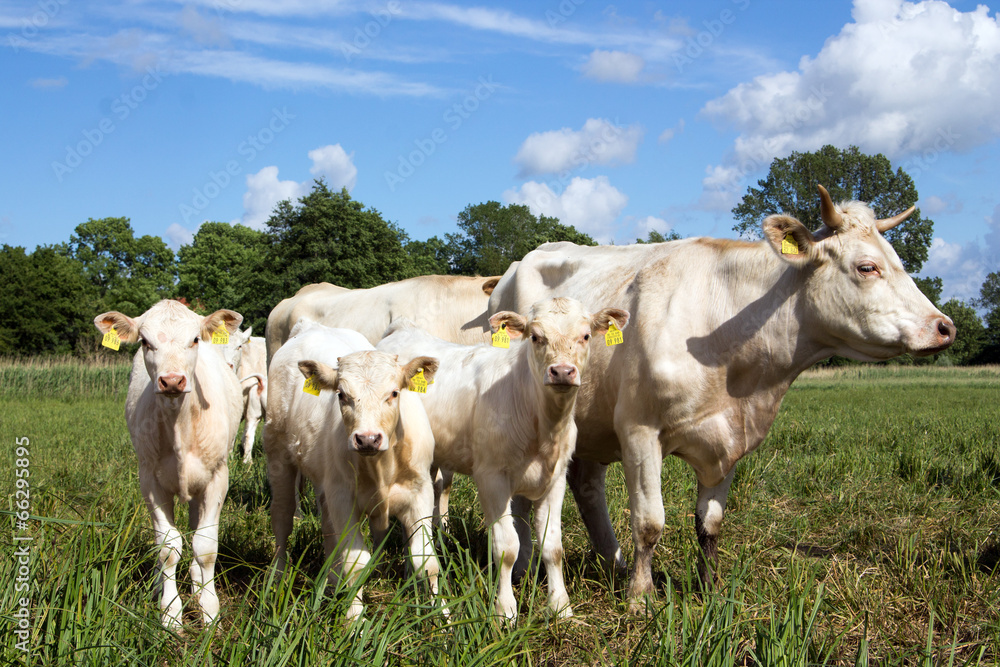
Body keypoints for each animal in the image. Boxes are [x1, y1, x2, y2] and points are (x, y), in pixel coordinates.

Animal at [94, 300, 244, 628]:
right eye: (145, 342)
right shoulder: (149, 479)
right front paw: (171, 613)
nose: (172, 380)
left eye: (195, 339)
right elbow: (167, 548)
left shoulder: (218, 477)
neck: (180, 425)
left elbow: (205, 547)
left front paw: (209, 610)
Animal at [266, 320, 442, 620]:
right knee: (282, 517)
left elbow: (427, 561)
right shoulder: (343, 498)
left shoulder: (420, 493)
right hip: (278, 456)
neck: (381, 466)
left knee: (327, 528)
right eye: (342, 394)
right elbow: (356, 563)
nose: (368, 439)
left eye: (394, 393)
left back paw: (331, 581)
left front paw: (443, 618)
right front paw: (355, 620)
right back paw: (277, 578)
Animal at [378, 298, 628, 620]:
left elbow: (552, 546)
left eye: (585, 336)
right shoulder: (491, 478)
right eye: (535, 336)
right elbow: (507, 547)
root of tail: (402, 329)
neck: (541, 423)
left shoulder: (555, 479)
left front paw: (561, 607)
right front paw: (505, 609)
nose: (562, 371)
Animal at [488, 185, 956, 608]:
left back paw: (613, 563)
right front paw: (641, 597)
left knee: (587, 488)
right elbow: (649, 522)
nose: (944, 327)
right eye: (867, 267)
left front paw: (711, 590)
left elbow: (710, 524)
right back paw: (530, 566)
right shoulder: (639, 430)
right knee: (527, 501)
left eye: (899, 262)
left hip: (591, 423)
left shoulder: (730, 438)